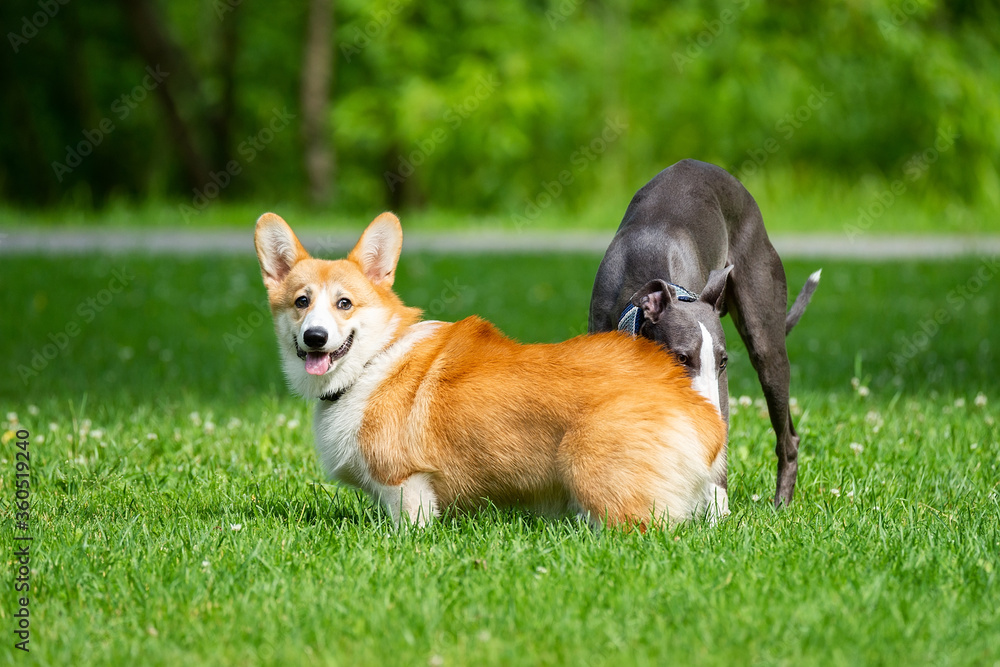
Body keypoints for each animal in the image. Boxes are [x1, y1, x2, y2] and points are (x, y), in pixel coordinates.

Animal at [256, 211, 728, 528]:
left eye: (345, 303)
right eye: (301, 302)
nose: (315, 337)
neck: (371, 362)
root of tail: (703, 416)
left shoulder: (407, 485)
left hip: (591, 467)